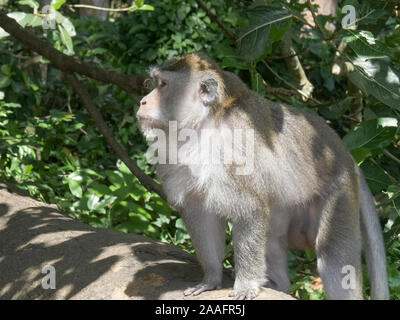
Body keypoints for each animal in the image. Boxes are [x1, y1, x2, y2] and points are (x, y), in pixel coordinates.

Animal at [136, 52, 390, 300]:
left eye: (163, 85)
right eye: (152, 83)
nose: (142, 101)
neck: (202, 127)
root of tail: (347, 157)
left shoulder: (236, 144)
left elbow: (250, 209)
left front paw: (245, 285)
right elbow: (200, 213)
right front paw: (210, 279)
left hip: (340, 195)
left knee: (332, 258)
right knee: (272, 235)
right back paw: (278, 284)